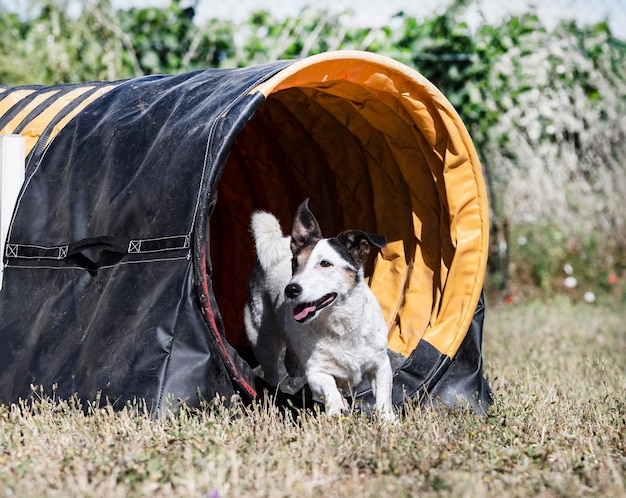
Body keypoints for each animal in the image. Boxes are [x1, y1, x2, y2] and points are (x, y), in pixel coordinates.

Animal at [243, 198, 392, 420]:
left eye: (325, 264)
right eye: (295, 263)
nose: (290, 290)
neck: (339, 322)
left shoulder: (381, 365)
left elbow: (383, 398)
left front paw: (389, 422)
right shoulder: (316, 372)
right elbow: (329, 386)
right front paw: (337, 408)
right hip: (263, 341)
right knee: (272, 374)